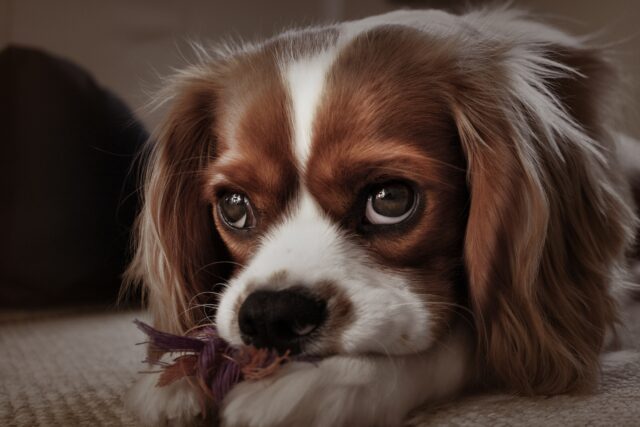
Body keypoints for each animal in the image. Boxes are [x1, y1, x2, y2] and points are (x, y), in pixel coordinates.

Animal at [125, 7, 640, 427]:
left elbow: (458, 338)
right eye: (234, 206)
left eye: (390, 199)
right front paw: (178, 373)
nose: (272, 315)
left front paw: (329, 381)